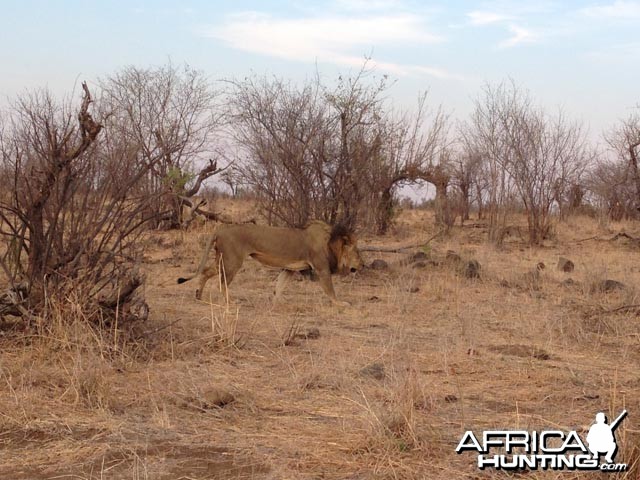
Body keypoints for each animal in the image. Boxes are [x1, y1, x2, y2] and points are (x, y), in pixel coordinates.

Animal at [178, 220, 362, 306]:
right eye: (357, 251)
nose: (363, 265)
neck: (330, 243)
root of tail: (220, 229)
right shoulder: (321, 268)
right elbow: (331, 290)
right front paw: (341, 303)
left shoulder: (289, 268)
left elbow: (279, 286)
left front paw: (278, 302)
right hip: (233, 261)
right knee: (222, 283)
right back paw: (231, 302)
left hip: (222, 259)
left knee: (206, 272)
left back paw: (198, 295)